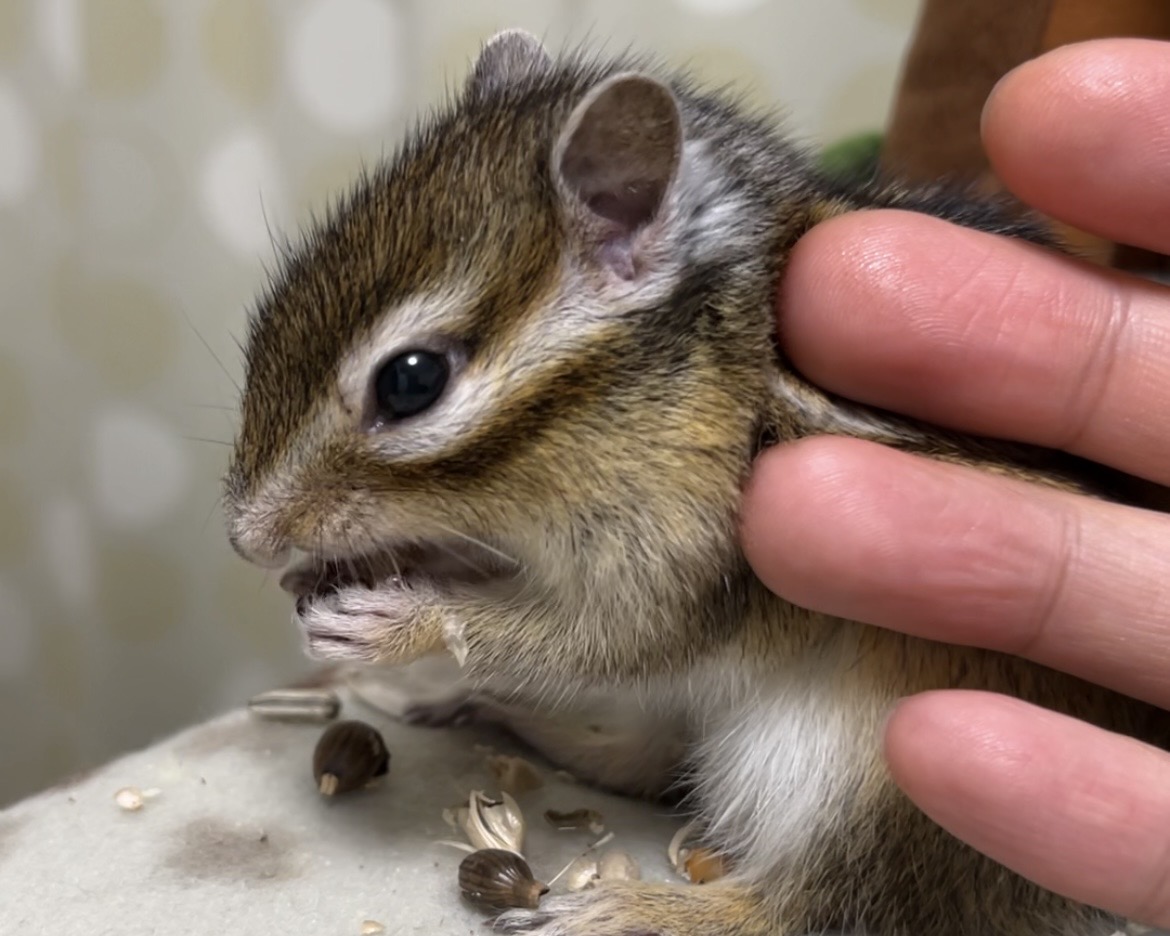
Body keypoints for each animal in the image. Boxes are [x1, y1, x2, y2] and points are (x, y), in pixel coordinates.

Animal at [223, 29, 1170, 936]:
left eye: (411, 381)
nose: (246, 538)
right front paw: (336, 579)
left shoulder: (689, 551)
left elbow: (608, 636)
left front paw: (396, 622)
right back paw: (500, 714)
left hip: (871, 784)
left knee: (806, 907)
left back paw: (628, 912)